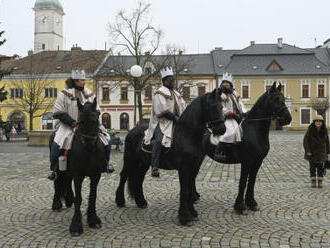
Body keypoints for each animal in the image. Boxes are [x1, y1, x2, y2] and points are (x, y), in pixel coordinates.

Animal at [50, 98, 105, 235]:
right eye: (80, 122)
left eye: (94, 120)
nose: (89, 145)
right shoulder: (78, 175)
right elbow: (79, 199)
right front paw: (76, 225)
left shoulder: (96, 175)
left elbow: (93, 196)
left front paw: (93, 219)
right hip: (60, 170)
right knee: (57, 182)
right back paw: (57, 204)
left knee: (67, 181)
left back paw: (69, 199)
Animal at [114, 89, 226, 227]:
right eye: (213, 106)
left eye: (221, 107)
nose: (222, 129)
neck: (187, 134)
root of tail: (131, 132)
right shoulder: (184, 168)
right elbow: (185, 190)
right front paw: (184, 217)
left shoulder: (193, 167)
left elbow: (189, 188)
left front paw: (192, 212)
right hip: (130, 160)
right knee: (123, 176)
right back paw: (120, 201)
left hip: (143, 163)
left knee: (138, 179)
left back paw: (141, 202)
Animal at [201, 82, 292, 214]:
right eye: (275, 99)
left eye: (283, 99)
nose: (288, 118)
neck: (254, 130)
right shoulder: (247, 161)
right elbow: (243, 182)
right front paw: (240, 206)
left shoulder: (257, 161)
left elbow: (252, 182)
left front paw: (252, 203)